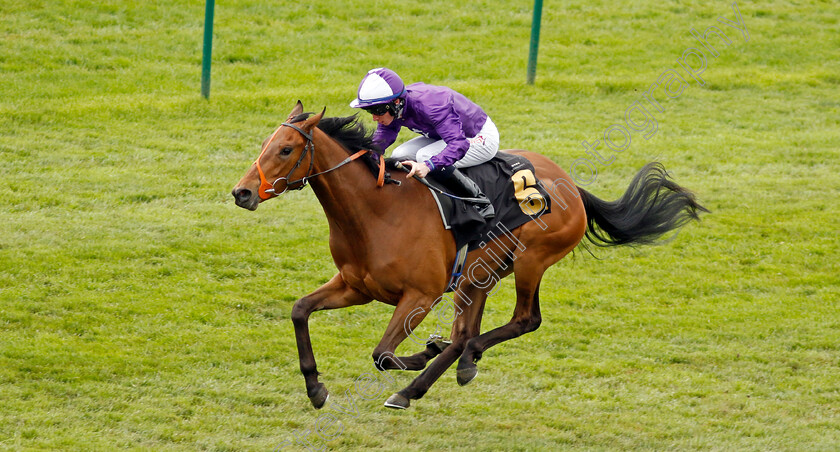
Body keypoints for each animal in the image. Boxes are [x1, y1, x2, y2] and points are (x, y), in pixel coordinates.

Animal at [230, 101, 708, 410]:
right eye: (265, 144)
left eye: (286, 149)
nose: (242, 193)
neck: (376, 211)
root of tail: (571, 186)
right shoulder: (354, 286)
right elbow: (299, 310)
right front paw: (315, 388)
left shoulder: (420, 297)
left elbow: (383, 354)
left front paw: (421, 355)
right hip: (481, 272)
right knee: (468, 331)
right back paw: (454, 367)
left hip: (529, 262)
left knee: (521, 321)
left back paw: (422, 382)